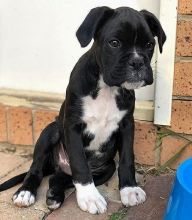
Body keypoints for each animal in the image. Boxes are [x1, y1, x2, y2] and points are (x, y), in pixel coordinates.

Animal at [0, 6, 165, 215]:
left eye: (149, 44)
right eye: (114, 43)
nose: (137, 62)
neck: (107, 87)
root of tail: (57, 166)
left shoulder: (127, 124)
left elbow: (127, 158)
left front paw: (130, 189)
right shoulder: (73, 126)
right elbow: (79, 164)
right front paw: (90, 197)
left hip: (107, 168)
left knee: (59, 178)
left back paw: (55, 196)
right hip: (51, 131)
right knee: (36, 169)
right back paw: (25, 192)